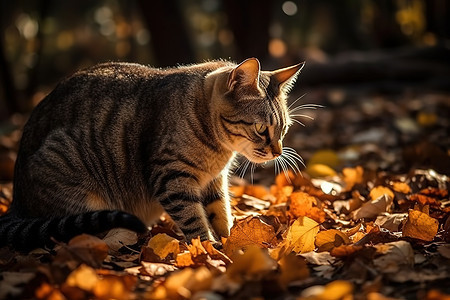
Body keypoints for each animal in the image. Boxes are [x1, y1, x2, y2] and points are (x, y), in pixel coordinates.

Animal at [0, 57, 306, 250]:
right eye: (261, 129)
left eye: (284, 129)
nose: (277, 152)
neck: (217, 152)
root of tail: (16, 202)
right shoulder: (172, 178)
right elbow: (194, 220)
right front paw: (209, 251)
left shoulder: (213, 181)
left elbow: (220, 212)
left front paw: (231, 241)